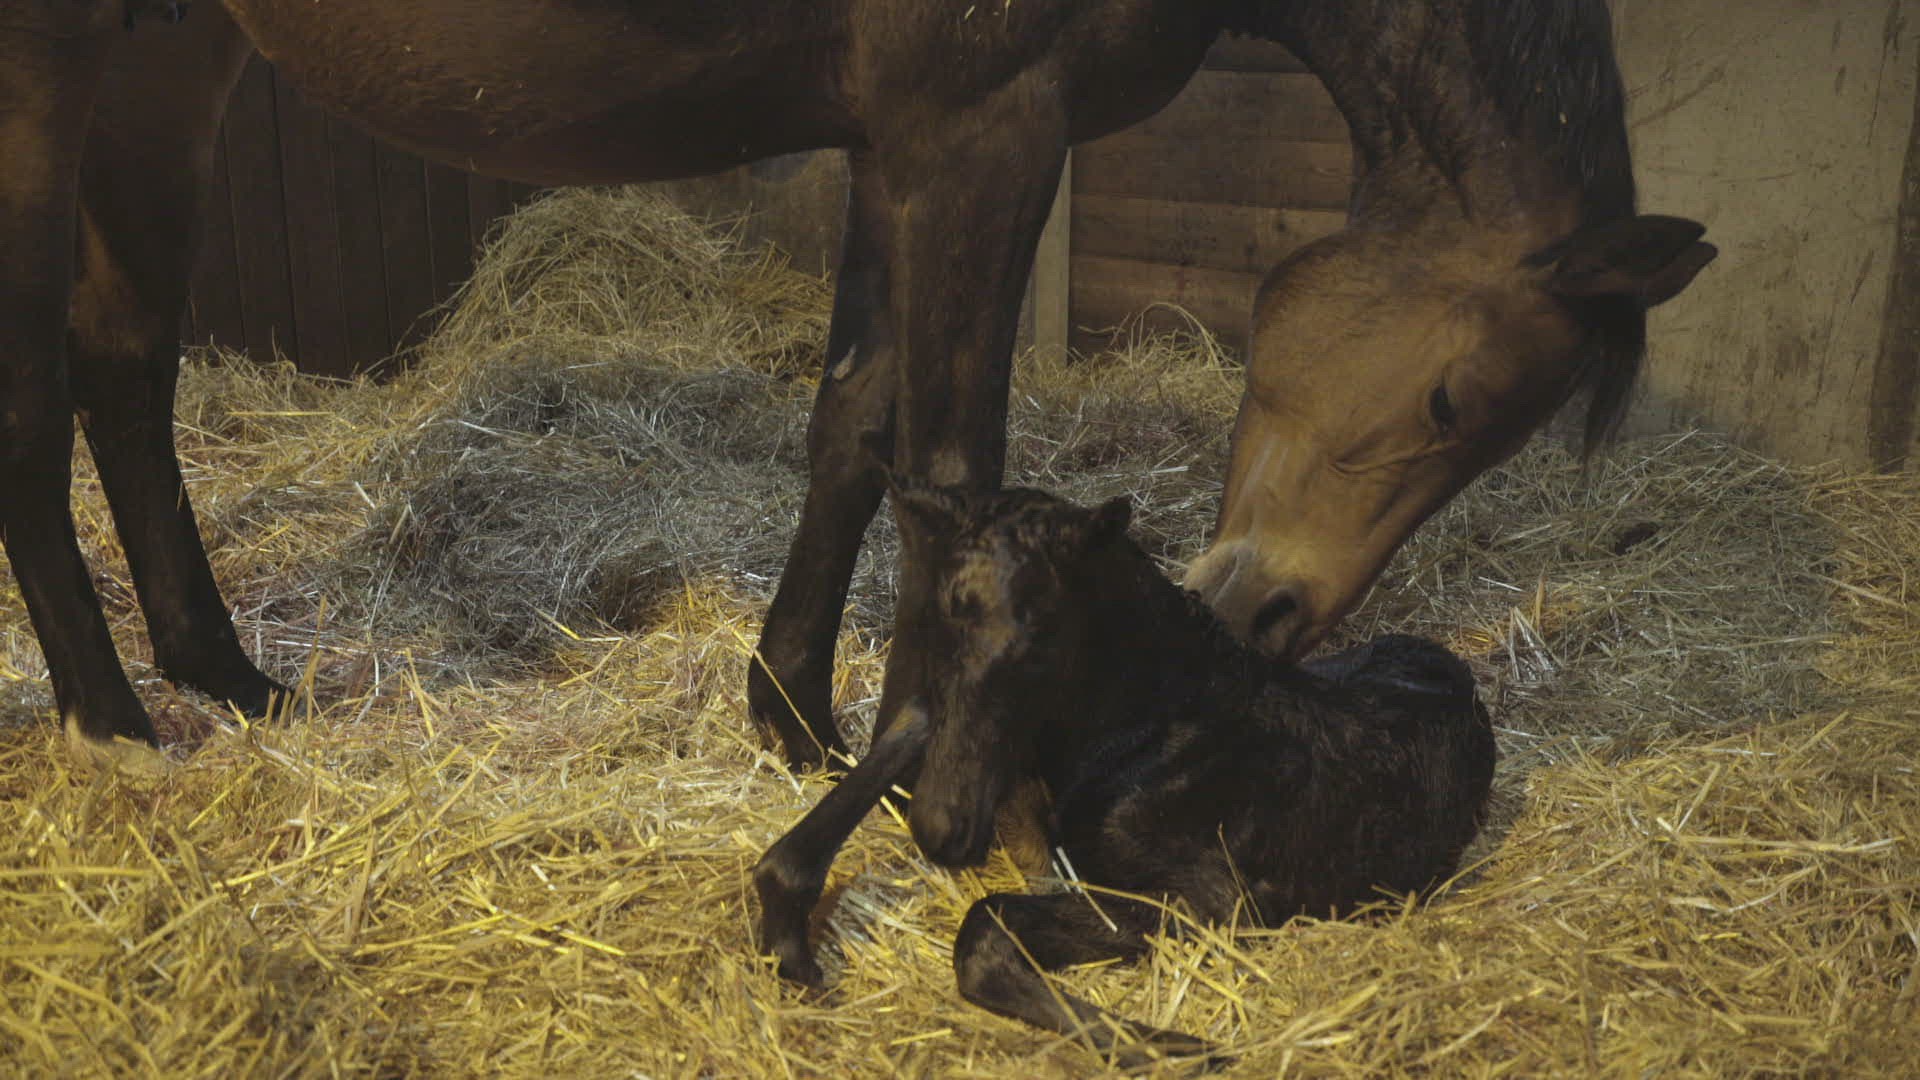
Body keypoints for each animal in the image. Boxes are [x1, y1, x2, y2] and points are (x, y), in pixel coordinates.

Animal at [0, 1, 1709, 773]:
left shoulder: (902, 143)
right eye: (1452, 405)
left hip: (167, 57)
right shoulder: (986, 129)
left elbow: (854, 428)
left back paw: (224, 676)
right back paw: (109, 719)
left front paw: (795, 713)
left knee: (123, 368)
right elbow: (950, 461)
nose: (1277, 616)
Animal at [755, 484, 1496, 1066]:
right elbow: (912, 723)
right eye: (934, 625)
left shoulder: (1213, 900)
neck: (1135, 722)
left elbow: (985, 929)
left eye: (1036, 640)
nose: (942, 828)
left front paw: (1177, 1049)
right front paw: (786, 929)